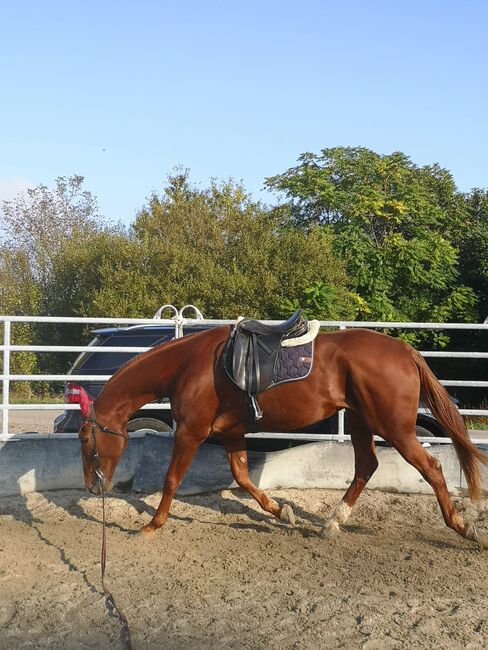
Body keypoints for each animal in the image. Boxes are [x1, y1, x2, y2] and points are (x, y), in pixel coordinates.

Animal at [77, 324, 488, 540]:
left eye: (85, 439)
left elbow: (172, 479)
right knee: (366, 467)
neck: (187, 366)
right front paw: (281, 511)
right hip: (360, 422)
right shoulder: (232, 433)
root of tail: (404, 349)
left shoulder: (190, 433)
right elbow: (243, 478)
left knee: (432, 467)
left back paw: (461, 525)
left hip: (396, 429)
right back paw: (332, 523)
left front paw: (151, 524)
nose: (94, 487)